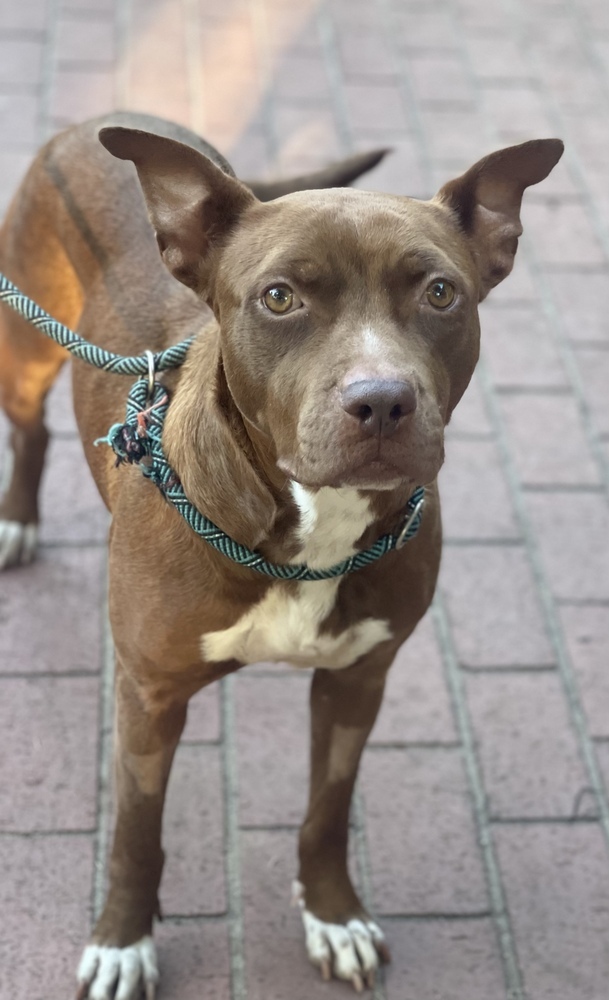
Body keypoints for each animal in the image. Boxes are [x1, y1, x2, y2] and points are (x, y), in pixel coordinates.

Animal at [0, 111, 560, 1000]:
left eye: (439, 292)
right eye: (279, 297)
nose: (381, 401)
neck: (307, 528)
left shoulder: (357, 681)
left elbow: (325, 815)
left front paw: (332, 916)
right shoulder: (147, 697)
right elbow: (136, 833)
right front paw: (123, 941)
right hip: (22, 349)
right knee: (29, 425)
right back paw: (18, 519)